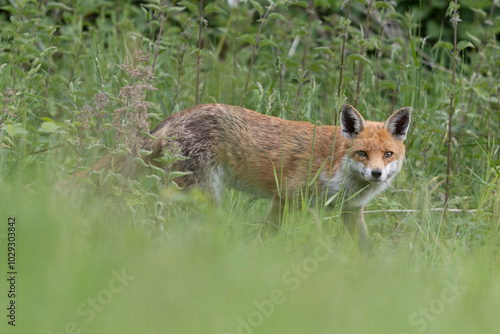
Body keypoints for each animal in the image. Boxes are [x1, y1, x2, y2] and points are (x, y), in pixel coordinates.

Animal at [90, 103, 410, 247]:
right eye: (362, 153)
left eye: (387, 154)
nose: (376, 174)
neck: (337, 168)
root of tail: (182, 113)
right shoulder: (286, 197)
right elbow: (271, 233)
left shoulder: (351, 211)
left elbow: (365, 248)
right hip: (204, 196)